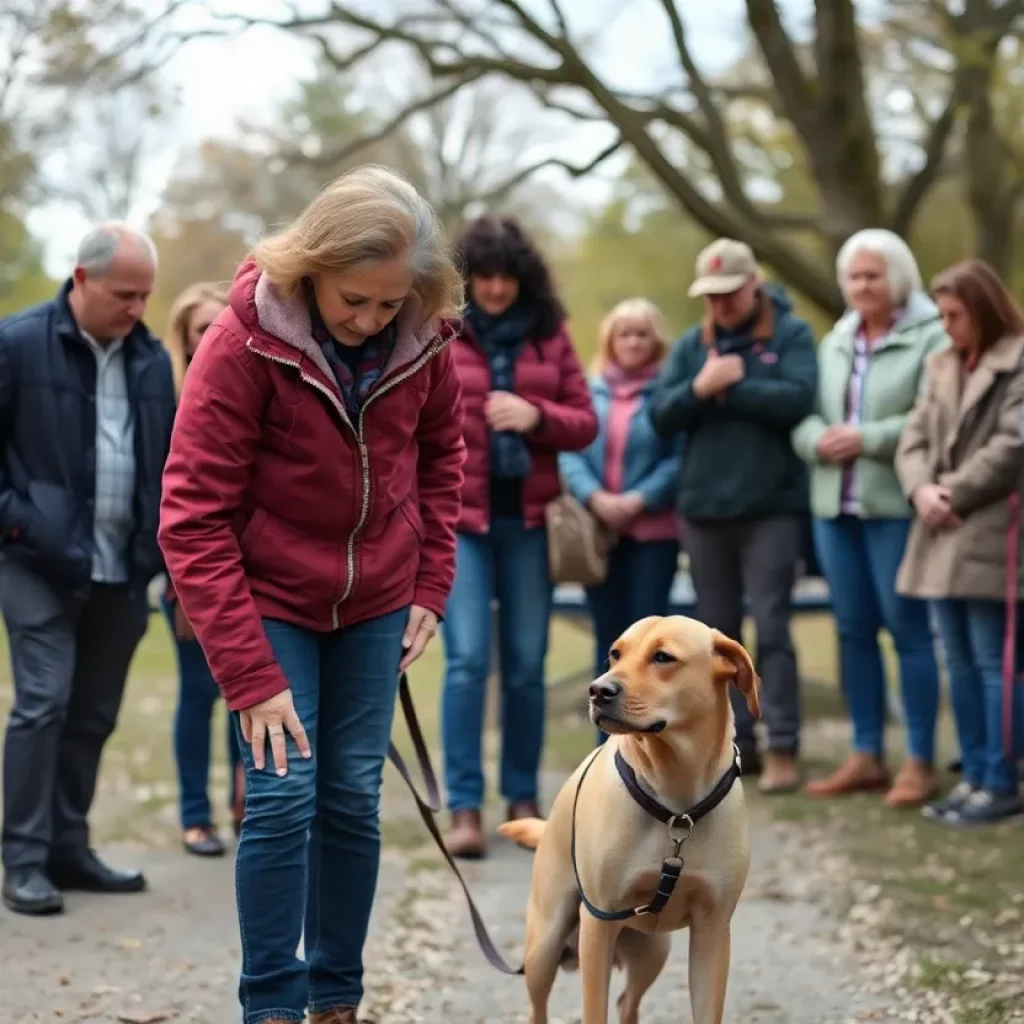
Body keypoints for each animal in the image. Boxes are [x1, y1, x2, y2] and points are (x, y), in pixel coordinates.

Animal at [495, 610, 761, 1019]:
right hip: (544, 946)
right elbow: (594, 1010)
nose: (598, 690)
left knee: (626, 1003)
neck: (675, 803)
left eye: (663, 658)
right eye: (615, 654)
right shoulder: (597, 924)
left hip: (652, 949)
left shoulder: (713, 932)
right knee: (538, 1007)